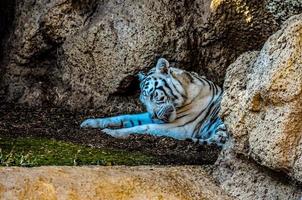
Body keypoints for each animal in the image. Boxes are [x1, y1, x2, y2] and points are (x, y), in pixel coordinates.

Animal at [81, 57, 228, 145]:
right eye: (144, 103)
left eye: (153, 95)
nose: (154, 116)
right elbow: (124, 117)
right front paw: (90, 122)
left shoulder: (181, 127)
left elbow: (143, 127)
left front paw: (112, 132)